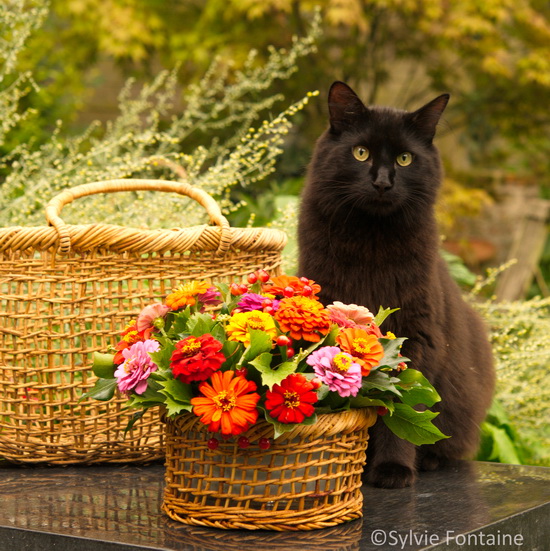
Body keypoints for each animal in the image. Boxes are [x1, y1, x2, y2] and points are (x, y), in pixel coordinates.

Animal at [300, 82, 498, 488]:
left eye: (405, 159)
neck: (371, 240)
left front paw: (394, 470)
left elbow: (401, 408)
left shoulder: (415, 334)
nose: (382, 182)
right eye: (361, 153)